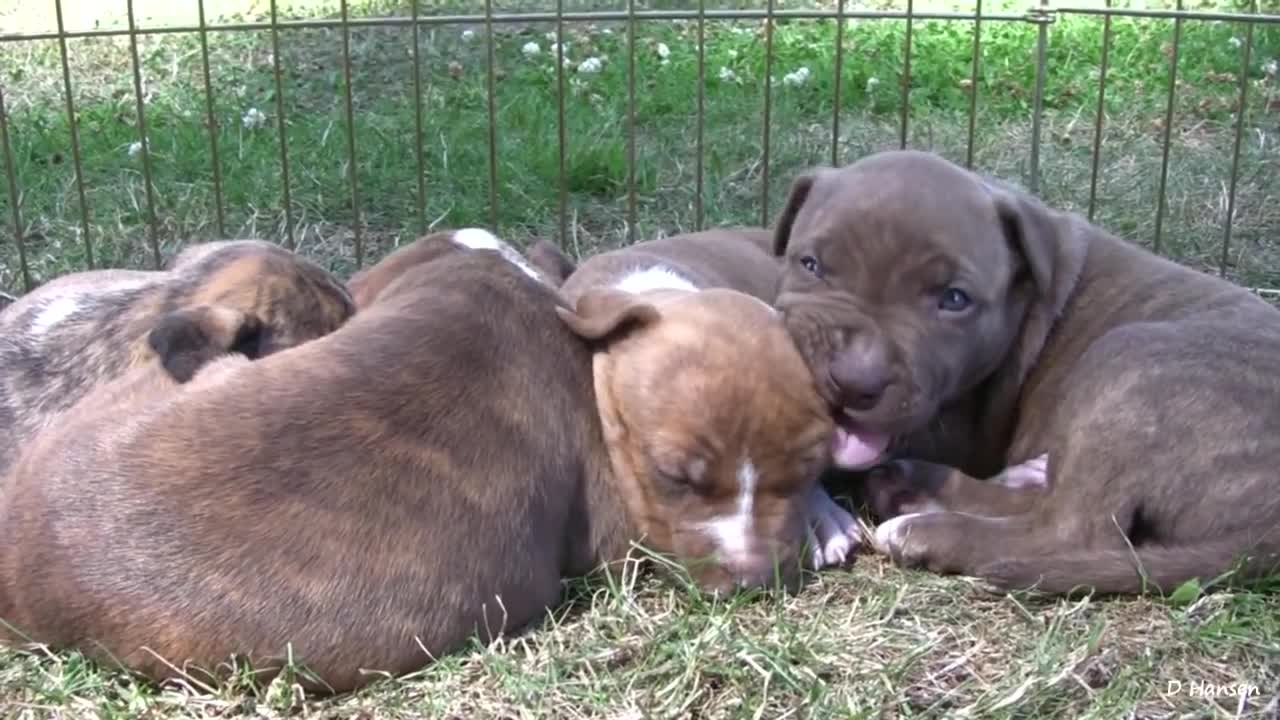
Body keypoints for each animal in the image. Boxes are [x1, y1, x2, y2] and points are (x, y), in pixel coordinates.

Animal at [768, 147, 1280, 594]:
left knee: (1073, 528)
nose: (854, 381)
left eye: (955, 299)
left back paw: (925, 528)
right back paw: (913, 487)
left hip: (1130, 359)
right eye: (810, 264)